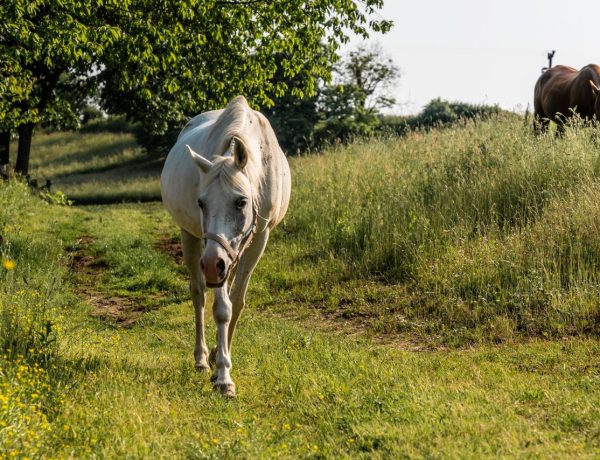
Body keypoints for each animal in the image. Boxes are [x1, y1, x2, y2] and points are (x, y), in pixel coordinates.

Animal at [159, 96, 290, 396]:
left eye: (241, 201)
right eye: (201, 202)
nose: (211, 264)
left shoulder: (258, 240)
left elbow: (236, 303)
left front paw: (221, 357)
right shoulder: (212, 253)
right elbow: (221, 308)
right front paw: (222, 376)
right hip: (191, 237)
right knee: (198, 293)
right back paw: (200, 358)